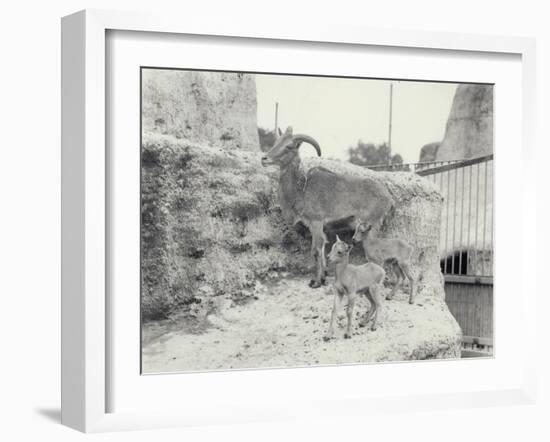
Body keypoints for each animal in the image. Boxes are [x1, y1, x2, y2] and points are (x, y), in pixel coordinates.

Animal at [260, 126, 394, 288]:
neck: (302, 190)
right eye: (276, 142)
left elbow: (316, 250)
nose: (264, 159)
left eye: (289, 146)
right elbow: (323, 249)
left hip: (370, 227)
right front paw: (323, 277)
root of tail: (388, 197)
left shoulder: (316, 222)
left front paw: (316, 282)